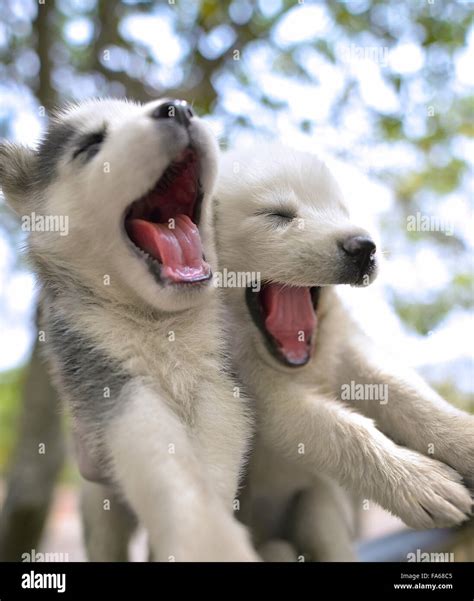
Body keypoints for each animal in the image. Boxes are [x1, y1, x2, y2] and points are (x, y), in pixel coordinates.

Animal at [0, 96, 260, 560]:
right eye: (90, 145)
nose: (179, 108)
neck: (158, 323)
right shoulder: (107, 379)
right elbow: (161, 461)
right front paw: (206, 538)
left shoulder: (220, 381)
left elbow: (216, 452)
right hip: (96, 505)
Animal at [213, 143, 472, 560]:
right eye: (277, 215)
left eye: (342, 211)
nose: (364, 247)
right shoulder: (252, 385)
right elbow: (335, 427)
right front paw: (422, 484)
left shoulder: (343, 344)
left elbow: (400, 389)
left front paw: (464, 438)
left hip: (315, 505)